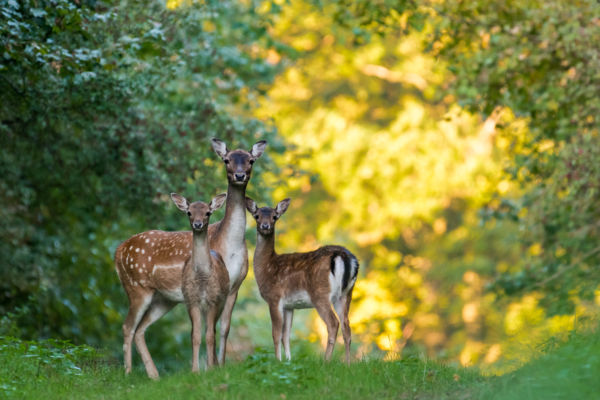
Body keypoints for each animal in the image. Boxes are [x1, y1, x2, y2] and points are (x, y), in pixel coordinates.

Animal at [171, 192, 232, 370]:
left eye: (208, 213)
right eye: (189, 212)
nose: (198, 224)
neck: (202, 277)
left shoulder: (213, 300)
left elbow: (210, 335)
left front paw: (210, 368)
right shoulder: (192, 301)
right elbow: (195, 336)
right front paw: (195, 370)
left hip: (222, 302)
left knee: (213, 330)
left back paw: (215, 364)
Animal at [246, 195, 358, 364]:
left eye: (275, 217)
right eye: (257, 216)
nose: (265, 226)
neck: (266, 267)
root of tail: (344, 257)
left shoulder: (274, 298)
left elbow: (276, 334)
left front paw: (277, 361)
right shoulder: (289, 306)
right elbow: (286, 335)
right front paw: (288, 361)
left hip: (320, 293)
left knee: (333, 323)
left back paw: (326, 361)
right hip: (346, 293)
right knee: (347, 326)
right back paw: (348, 363)